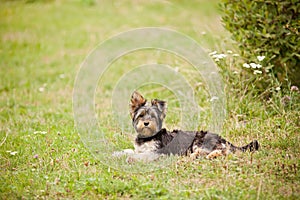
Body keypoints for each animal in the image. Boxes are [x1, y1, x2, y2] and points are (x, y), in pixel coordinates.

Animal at [113, 91, 258, 162]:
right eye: (141, 115)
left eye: (153, 116)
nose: (146, 123)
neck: (148, 137)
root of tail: (221, 138)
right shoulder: (140, 149)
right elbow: (130, 151)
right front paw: (117, 154)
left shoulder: (157, 152)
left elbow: (142, 155)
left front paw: (130, 159)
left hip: (200, 140)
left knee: (224, 151)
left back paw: (205, 155)